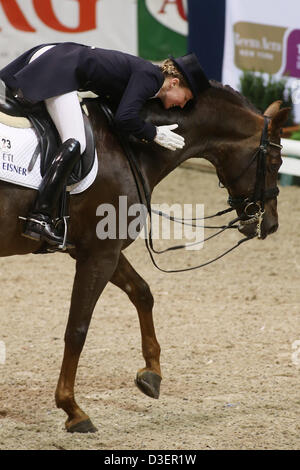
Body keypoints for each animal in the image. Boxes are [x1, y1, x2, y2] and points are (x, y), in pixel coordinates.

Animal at [0, 81, 290, 434]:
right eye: (275, 162)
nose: (270, 224)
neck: (128, 146)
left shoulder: (98, 250)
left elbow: (142, 293)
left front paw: (152, 374)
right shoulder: (100, 254)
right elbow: (77, 330)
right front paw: (73, 409)